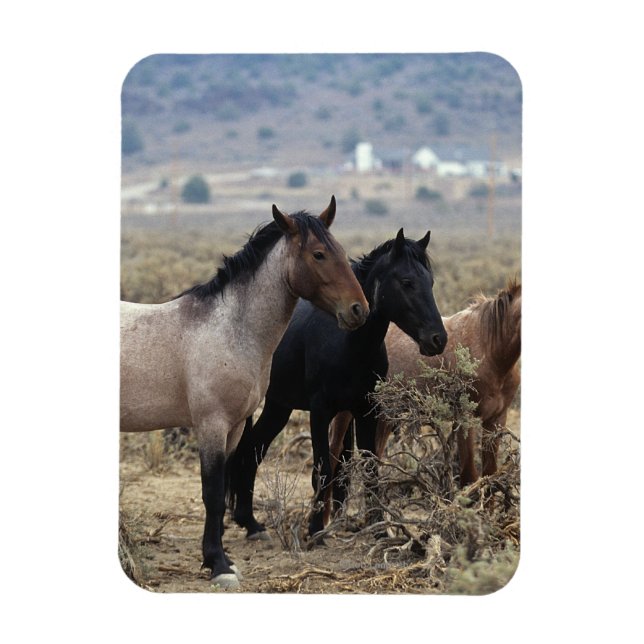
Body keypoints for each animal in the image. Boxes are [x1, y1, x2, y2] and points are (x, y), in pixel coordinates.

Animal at [120, 197, 369, 589]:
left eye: (341, 251)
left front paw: (221, 556)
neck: (230, 330)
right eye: (318, 254)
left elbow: (227, 484)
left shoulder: (235, 427)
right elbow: (212, 494)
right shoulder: (211, 425)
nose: (359, 310)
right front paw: (218, 565)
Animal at [227, 229, 448, 541]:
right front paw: (315, 529)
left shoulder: (366, 411)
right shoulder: (321, 412)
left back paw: (251, 523)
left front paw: (378, 527)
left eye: (430, 282)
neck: (347, 343)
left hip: (278, 407)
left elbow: (369, 467)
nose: (437, 339)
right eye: (407, 282)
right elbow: (322, 469)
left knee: (252, 450)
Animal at [328, 278, 521, 508]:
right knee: (334, 454)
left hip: (383, 417)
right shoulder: (465, 419)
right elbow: (470, 477)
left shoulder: (496, 420)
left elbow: (490, 475)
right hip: (346, 413)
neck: (490, 350)